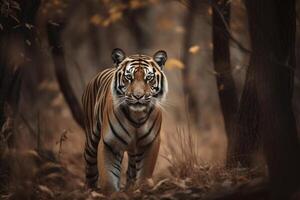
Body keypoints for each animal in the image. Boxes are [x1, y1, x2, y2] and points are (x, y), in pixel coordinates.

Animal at [81, 48, 168, 192]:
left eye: (149, 78)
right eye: (128, 77)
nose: (138, 96)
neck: (136, 117)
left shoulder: (151, 141)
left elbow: (145, 172)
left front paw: (142, 189)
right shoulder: (109, 143)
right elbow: (109, 176)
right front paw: (112, 192)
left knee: (131, 170)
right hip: (91, 142)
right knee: (90, 170)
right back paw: (90, 190)